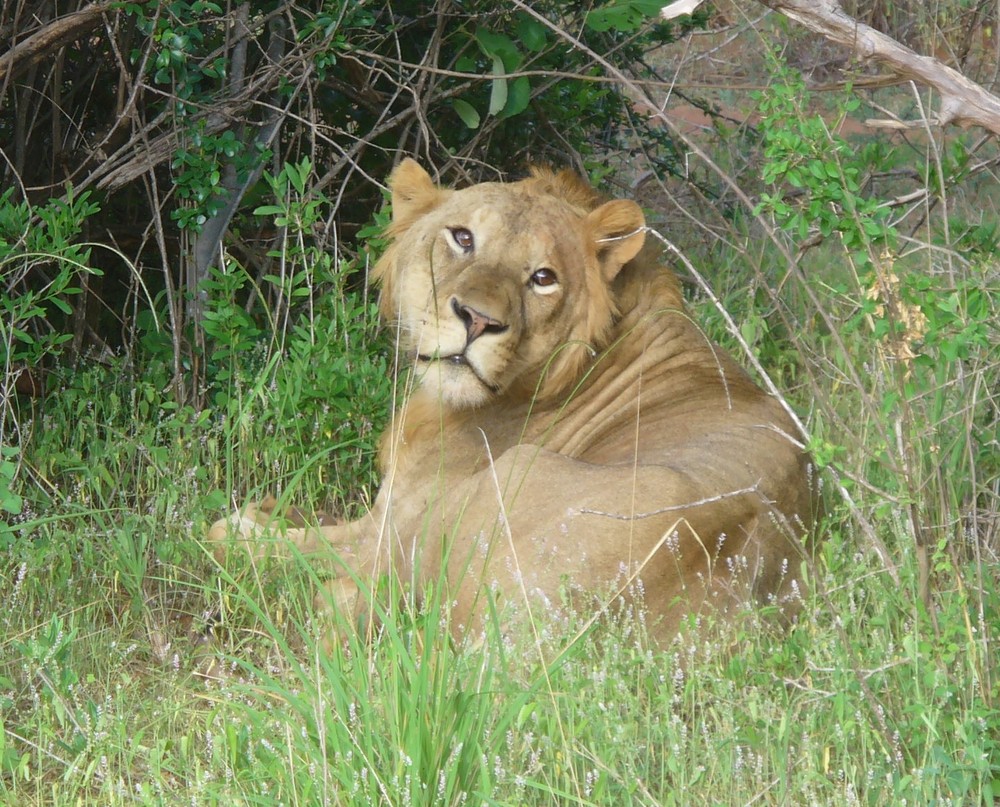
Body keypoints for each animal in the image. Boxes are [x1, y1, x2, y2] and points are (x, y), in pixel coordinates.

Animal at [207, 161, 816, 648]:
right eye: (462, 237)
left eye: (543, 278)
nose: (477, 320)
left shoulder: (395, 518)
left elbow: (281, 537)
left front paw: (252, 521)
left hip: (494, 488)